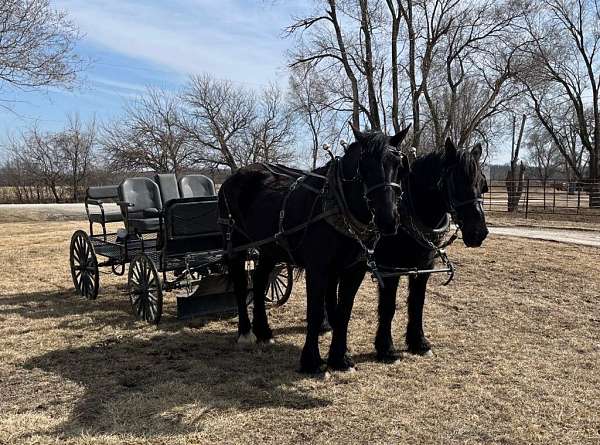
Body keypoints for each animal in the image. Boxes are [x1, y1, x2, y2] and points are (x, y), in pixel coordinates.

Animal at [218, 124, 410, 372]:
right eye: (363, 165)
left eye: (398, 164)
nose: (388, 220)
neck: (337, 205)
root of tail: (234, 176)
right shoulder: (317, 268)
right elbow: (316, 311)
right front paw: (312, 361)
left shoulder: (354, 270)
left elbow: (344, 311)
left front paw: (340, 358)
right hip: (236, 244)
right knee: (242, 284)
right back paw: (245, 333)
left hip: (269, 247)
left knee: (260, 281)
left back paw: (264, 331)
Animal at [372, 139, 490, 360]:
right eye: (457, 182)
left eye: (482, 184)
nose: (478, 232)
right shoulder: (389, 270)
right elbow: (388, 306)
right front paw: (386, 347)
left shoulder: (423, 267)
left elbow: (417, 303)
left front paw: (418, 342)